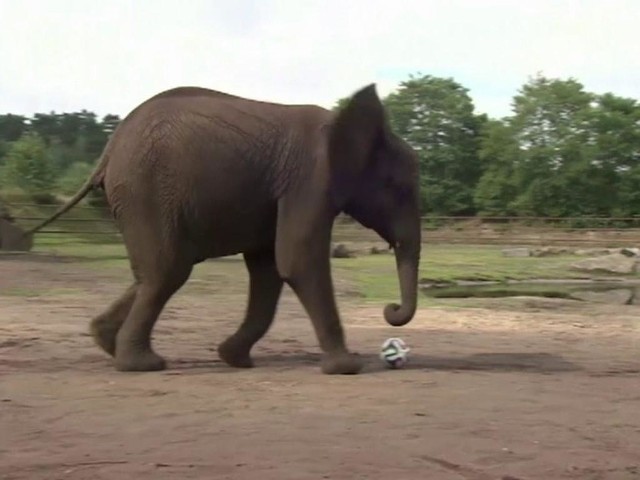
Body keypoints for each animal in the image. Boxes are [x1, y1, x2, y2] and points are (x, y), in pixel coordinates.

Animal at [26, 82, 424, 376]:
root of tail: (108, 152)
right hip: (147, 190)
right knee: (168, 271)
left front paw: (235, 359)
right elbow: (297, 261)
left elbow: (268, 269)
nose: (390, 311)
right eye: (401, 189)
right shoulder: (308, 182)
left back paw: (106, 341)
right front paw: (347, 367)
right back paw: (142, 365)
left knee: (155, 271)